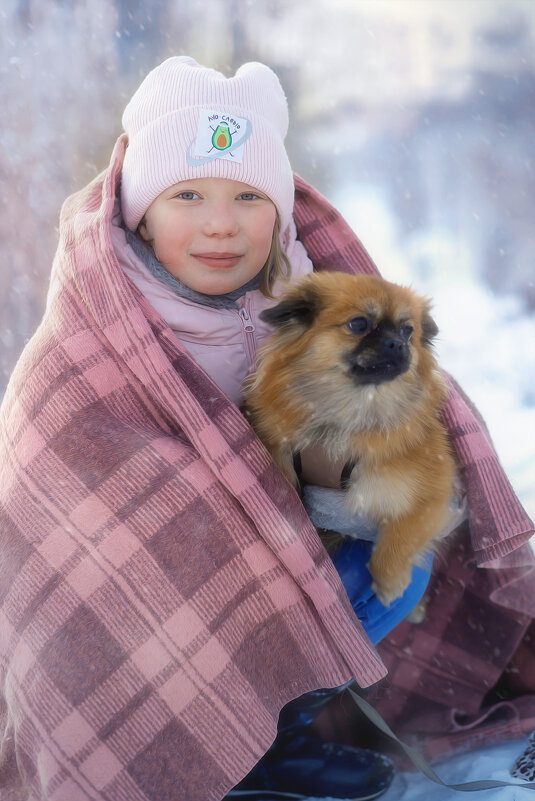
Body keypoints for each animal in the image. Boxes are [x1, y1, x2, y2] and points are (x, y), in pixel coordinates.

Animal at [245, 272, 458, 604]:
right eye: (359, 324)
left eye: (408, 330)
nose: (398, 344)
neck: (345, 417)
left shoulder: (432, 490)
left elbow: (402, 535)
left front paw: (389, 581)